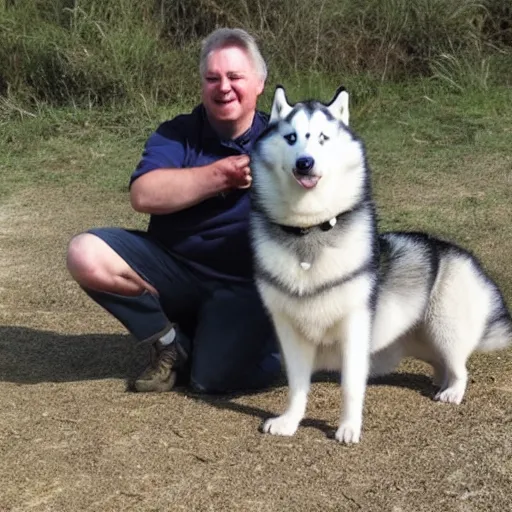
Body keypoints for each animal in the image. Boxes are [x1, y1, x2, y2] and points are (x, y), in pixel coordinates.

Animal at [249, 85, 512, 444]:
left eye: (323, 138)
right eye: (291, 138)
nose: (305, 163)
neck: (310, 230)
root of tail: (458, 251)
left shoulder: (355, 326)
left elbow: (350, 385)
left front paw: (348, 427)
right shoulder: (290, 329)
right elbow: (297, 386)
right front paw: (290, 421)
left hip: (445, 326)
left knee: (460, 365)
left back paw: (453, 390)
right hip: (418, 338)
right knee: (439, 362)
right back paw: (439, 379)